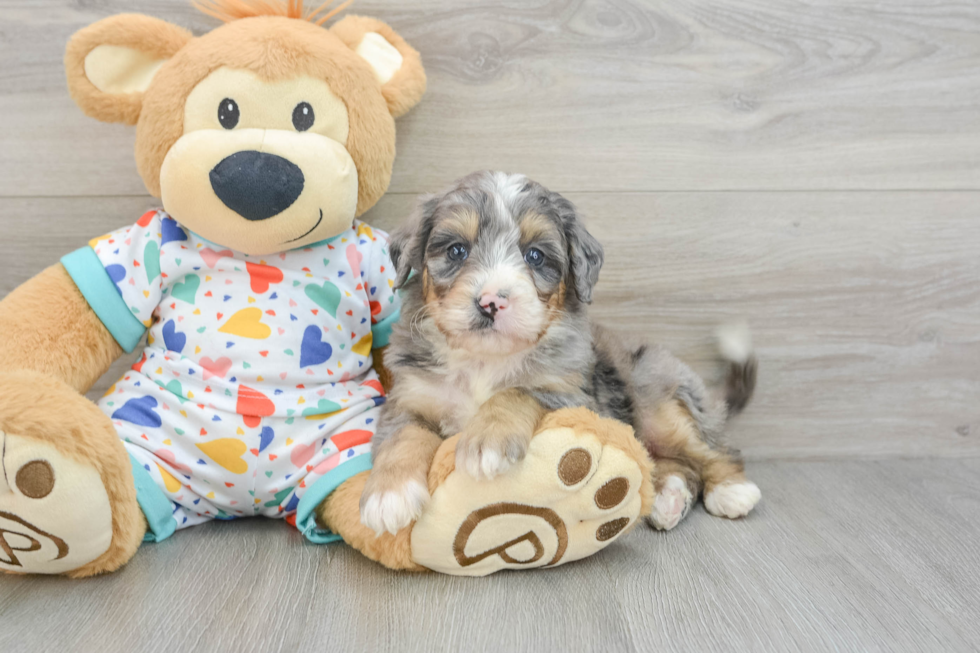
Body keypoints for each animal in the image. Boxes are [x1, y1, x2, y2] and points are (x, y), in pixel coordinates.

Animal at [360, 169, 756, 536]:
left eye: (535, 256)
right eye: (457, 249)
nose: (490, 302)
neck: (484, 361)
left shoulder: (572, 397)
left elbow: (517, 392)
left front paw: (488, 440)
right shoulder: (410, 397)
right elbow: (401, 437)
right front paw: (388, 495)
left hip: (660, 404)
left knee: (713, 450)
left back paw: (731, 490)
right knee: (676, 464)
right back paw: (668, 499)